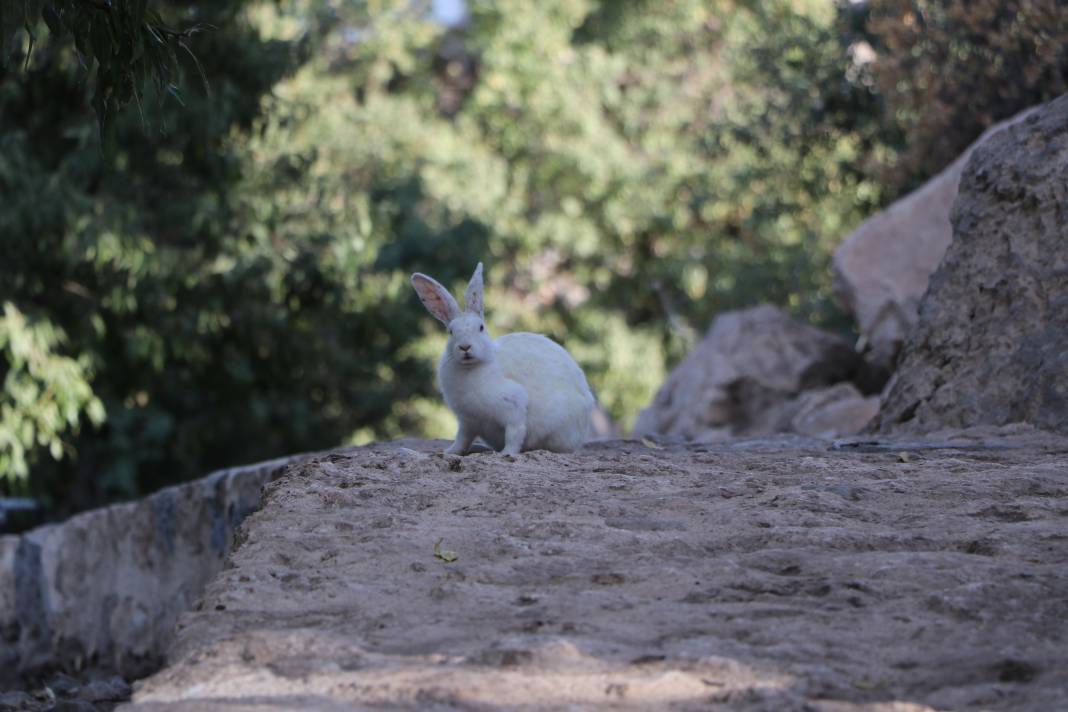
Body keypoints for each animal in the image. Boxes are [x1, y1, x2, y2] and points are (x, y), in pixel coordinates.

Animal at [410, 263, 598, 456]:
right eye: (450, 331)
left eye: (481, 327)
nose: (465, 347)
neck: (472, 368)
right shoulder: (468, 421)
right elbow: (462, 439)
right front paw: (449, 452)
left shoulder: (513, 404)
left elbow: (514, 433)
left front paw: (506, 453)